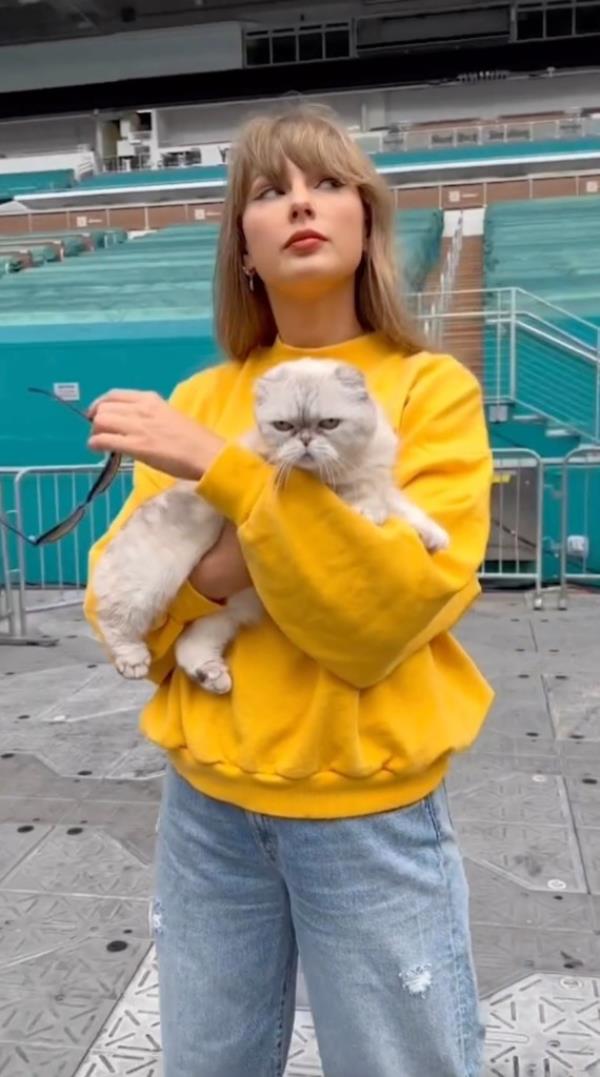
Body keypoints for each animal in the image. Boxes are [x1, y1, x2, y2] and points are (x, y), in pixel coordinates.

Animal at [93, 357, 445, 693]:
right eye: (284, 426)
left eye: (329, 423)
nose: (305, 440)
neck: (349, 466)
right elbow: (368, 499)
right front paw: (368, 511)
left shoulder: (376, 478)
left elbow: (398, 503)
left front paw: (432, 535)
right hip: (149, 586)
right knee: (114, 621)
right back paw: (133, 659)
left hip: (230, 612)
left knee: (190, 644)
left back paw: (210, 675)